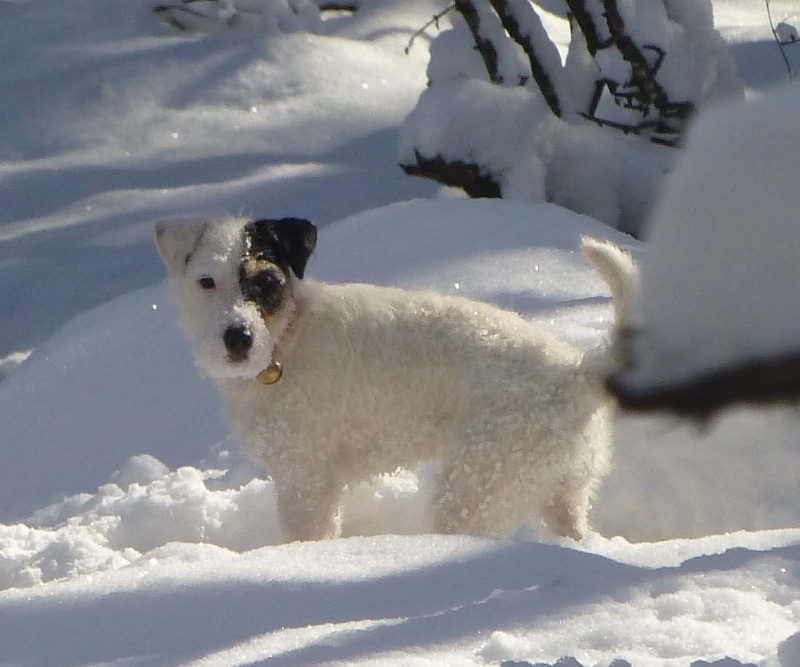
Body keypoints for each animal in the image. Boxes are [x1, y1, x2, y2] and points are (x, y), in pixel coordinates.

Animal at [153, 217, 636, 544]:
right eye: (206, 281)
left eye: (266, 281)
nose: (238, 337)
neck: (286, 339)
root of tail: (577, 375)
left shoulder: (307, 479)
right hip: (562, 491)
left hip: (479, 485)